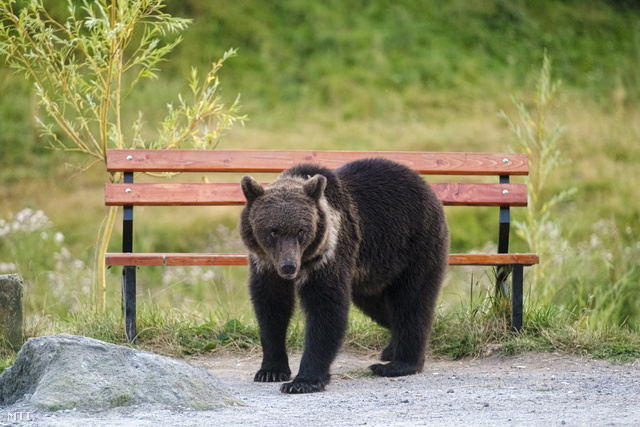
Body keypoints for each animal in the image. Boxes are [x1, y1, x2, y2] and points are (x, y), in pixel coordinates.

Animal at [240, 158, 450, 394]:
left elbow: (326, 309)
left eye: (301, 231)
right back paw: (390, 349)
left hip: (415, 246)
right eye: (273, 231)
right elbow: (271, 308)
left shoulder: (330, 254)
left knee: (411, 302)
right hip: (371, 273)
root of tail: (426, 185)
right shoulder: (265, 265)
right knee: (382, 308)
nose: (288, 266)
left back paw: (398, 364)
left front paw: (303, 381)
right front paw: (271, 370)